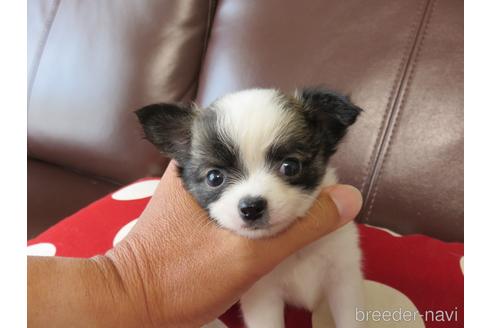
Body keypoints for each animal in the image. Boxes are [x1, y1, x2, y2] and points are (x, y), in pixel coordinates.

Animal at [136, 88, 364, 328]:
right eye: (214, 177)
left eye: (290, 166)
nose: (251, 207)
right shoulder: (263, 298)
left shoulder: (343, 278)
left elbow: (351, 319)